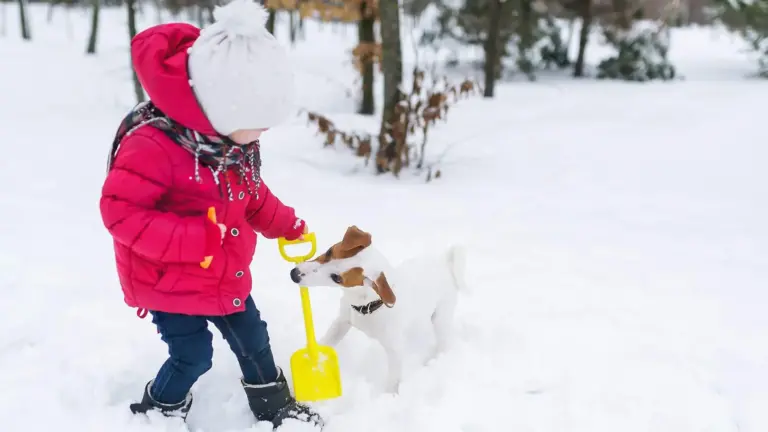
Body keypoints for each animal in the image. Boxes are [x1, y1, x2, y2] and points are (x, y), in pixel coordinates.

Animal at [288, 228, 468, 394]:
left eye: (337, 278)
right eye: (329, 252)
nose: (294, 274)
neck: (367, 305)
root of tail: (445, 264)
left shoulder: (395, 349)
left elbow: (393, 381)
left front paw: (389, 398)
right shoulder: (342, 320)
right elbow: (327, 341)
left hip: (441, 318)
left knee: (443, 342)